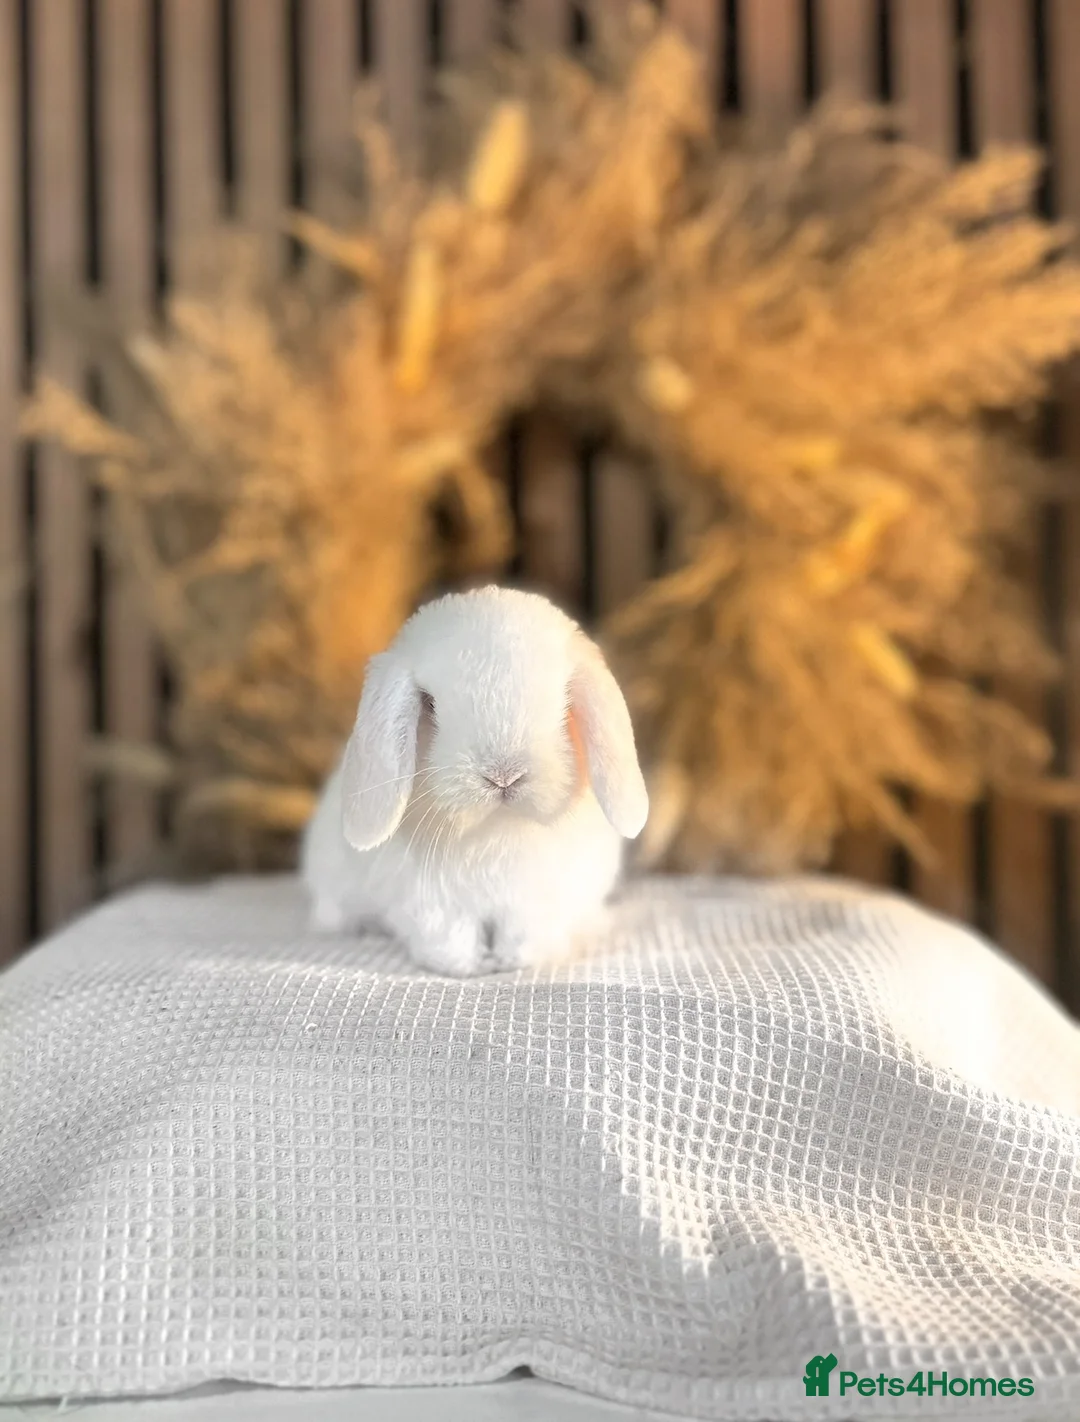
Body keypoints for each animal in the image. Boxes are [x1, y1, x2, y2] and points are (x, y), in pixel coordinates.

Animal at [300, 585, 649, 976]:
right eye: (430, 704)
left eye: (564, 702)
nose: (503, 775)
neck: (497, 828)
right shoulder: (430, 904)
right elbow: (450, 936)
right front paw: (466, 966)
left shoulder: (537, 902)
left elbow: (525, 934)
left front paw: (513, 961)